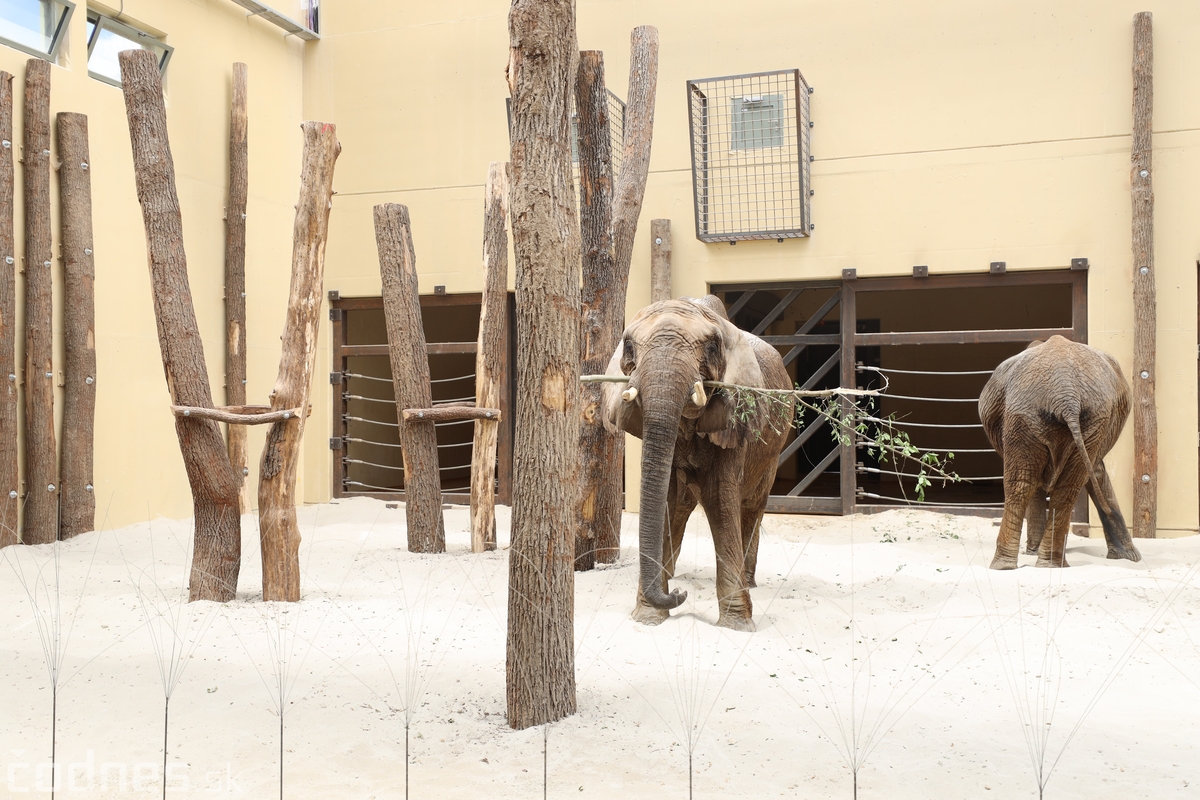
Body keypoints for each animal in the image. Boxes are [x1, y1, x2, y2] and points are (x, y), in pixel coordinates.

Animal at [597, 296, 787, 633]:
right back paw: (673, 576)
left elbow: (720, 500)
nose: (679, 595)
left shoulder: (734, 419)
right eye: (628, 346)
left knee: (751, 507)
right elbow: (665, 499)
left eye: (712, 347)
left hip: (771, 455)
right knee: (681, 506)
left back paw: (749, 581)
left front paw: (737, 626)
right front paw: (649, 617)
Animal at [979, 335, 1137, 568]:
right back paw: (1038, 564)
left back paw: (1016, 565)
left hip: (1030, 417)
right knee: (1058, 487)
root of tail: (1066, 393)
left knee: (1023, 484)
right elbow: (1095, 473)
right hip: (1058, 418)